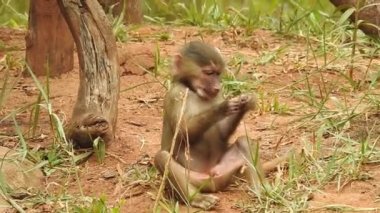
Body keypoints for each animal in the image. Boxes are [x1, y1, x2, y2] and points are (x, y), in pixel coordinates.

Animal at [154, 40, 288, 211]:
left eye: (218, 74)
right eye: (209, 73)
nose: (217, 87)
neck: (193, 90)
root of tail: (211, 178)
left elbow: (222, 133)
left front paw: (245, 102)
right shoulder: (176, 95)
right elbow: (184, 131)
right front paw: (224, 107)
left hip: (225, 171)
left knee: (244, 141)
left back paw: (262, 190)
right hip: (195, 179)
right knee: (162, 157)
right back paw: (197, 199)